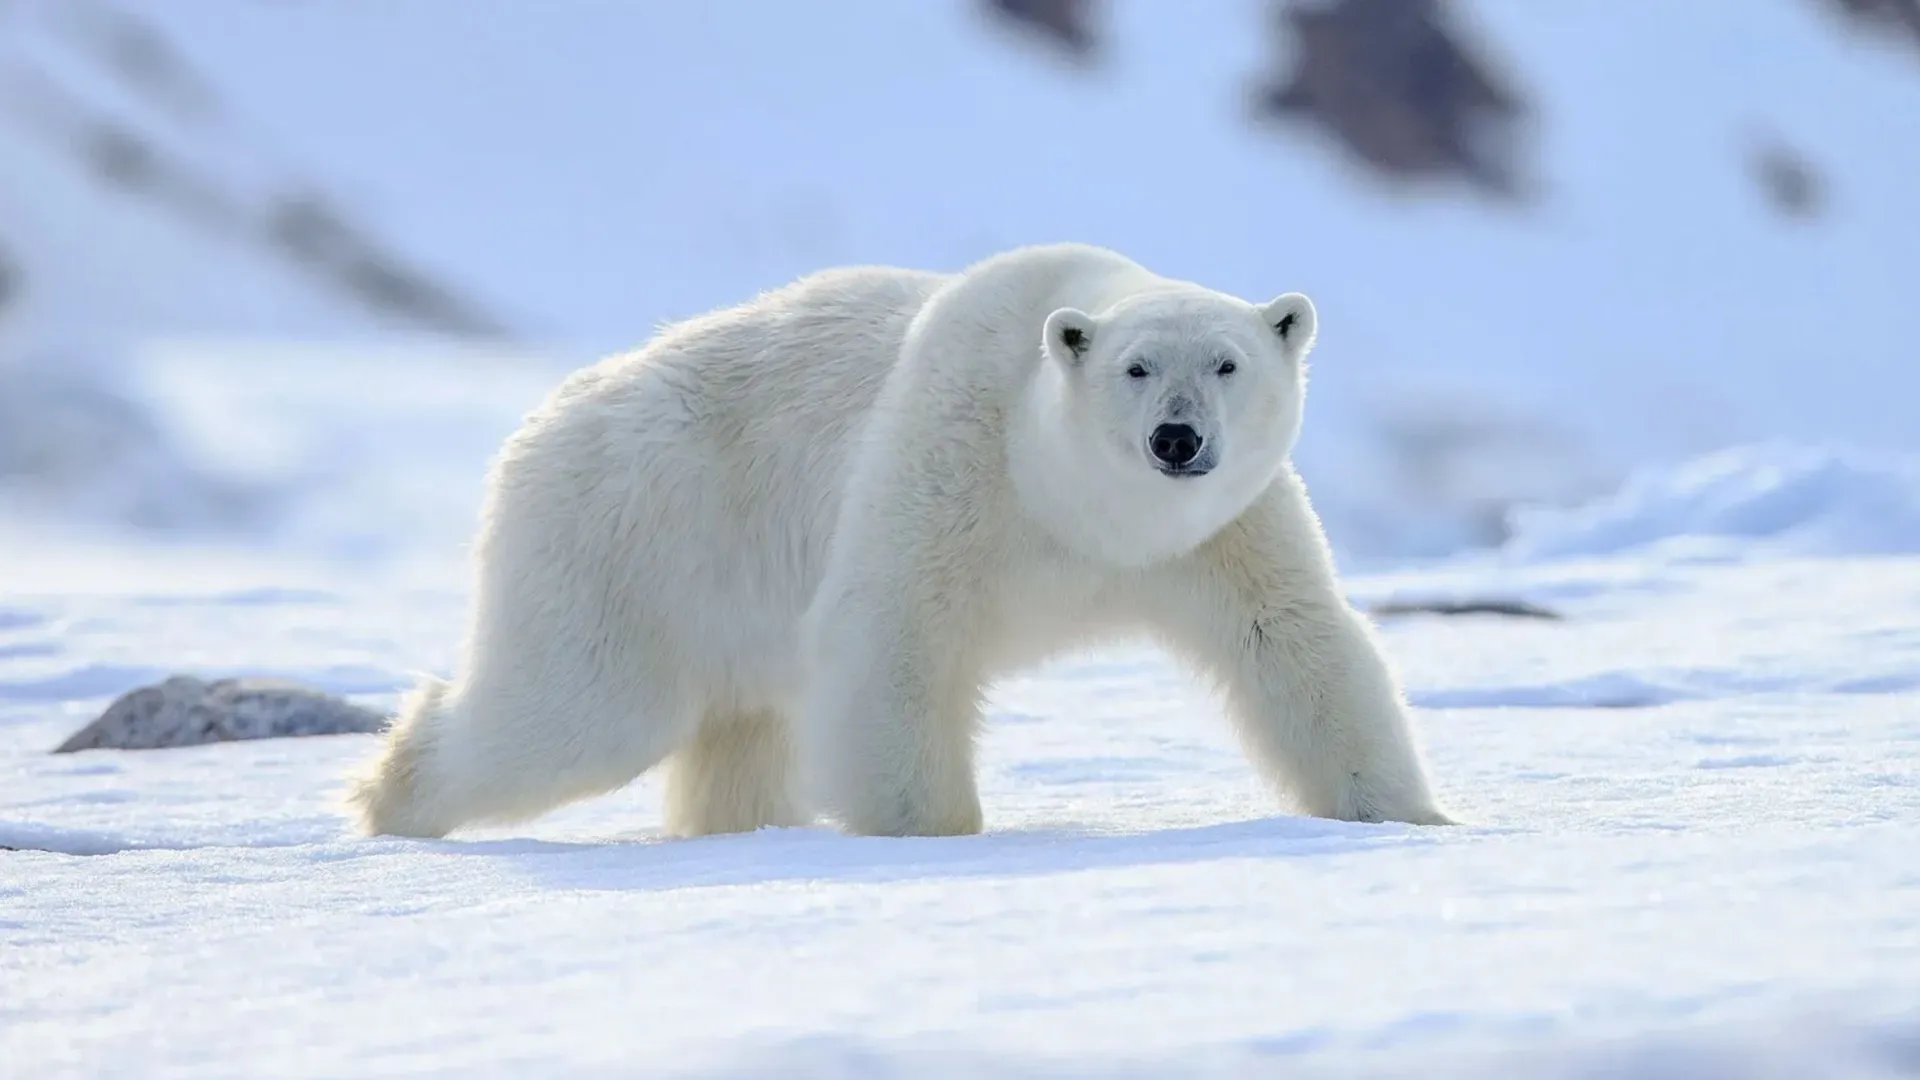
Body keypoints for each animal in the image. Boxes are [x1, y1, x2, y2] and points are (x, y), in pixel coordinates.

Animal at [349, 239, 1451, 837]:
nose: (1176, 440)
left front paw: (1410, 815)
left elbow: (1293, 640)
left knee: (737, 733)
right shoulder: (951, 454)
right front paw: (933, 833)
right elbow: (895, 637)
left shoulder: (1220, 531)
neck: (1076, 508)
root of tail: (540, 423)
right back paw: (390, 797)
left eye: (1227, 363)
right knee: (575, 711)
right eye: (1136, 368)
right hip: (632, 539)